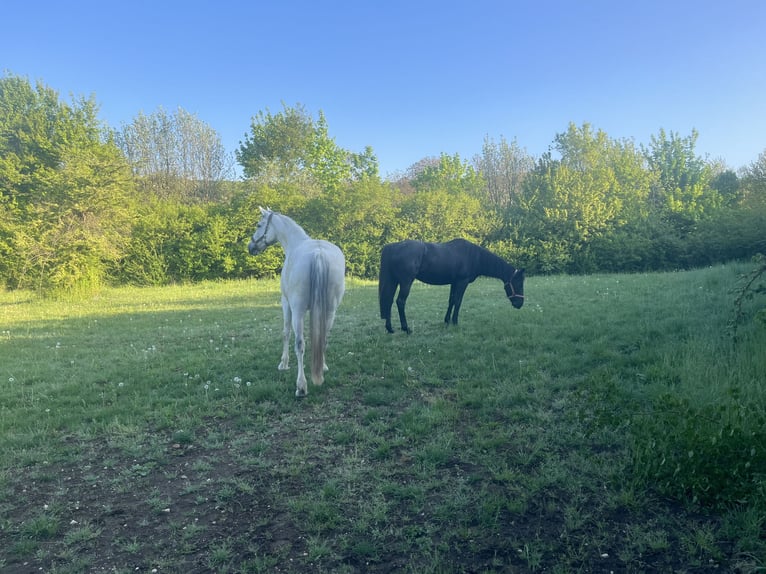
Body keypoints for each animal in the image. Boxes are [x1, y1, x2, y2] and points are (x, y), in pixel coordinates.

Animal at [248, 207, 345, 396]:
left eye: (259, 225)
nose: (251, 247)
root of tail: (318, 253)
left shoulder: (286, 303)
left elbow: (285, 333)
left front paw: (283, 363)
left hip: (298, 310)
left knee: (299, 343)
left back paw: (301, 386)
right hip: (330, 310)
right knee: (324, 338)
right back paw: (322, 367)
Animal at [378, 238, 525, 333]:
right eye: (518, 283)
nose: (520, 304)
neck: (474, 256)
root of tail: (392, 247)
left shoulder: (454, 283)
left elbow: (451, 301)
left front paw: (447, 320)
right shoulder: (462, 282)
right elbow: (458, 301)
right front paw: (455, 322)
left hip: (394, 281)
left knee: (389, 301)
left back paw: (390, 328)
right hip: (406, 282)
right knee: (400, 301)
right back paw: (406, 328)